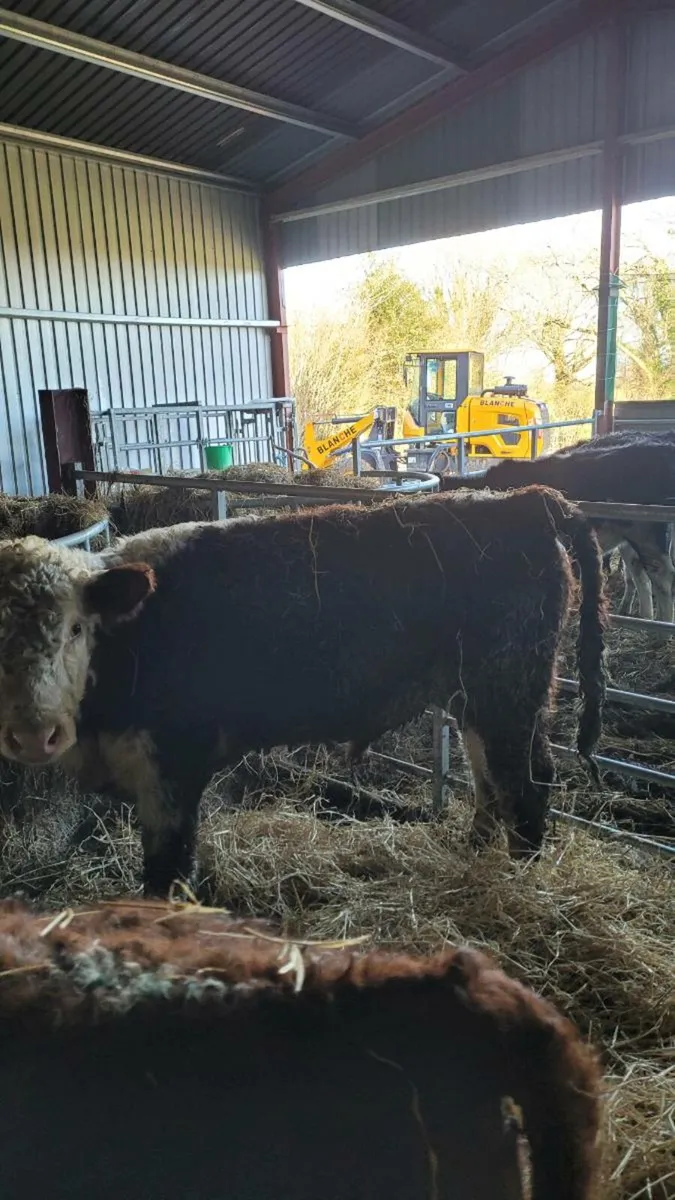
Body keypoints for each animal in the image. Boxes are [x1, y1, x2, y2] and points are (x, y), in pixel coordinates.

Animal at [0, 485, 606, 896]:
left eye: (77, 628)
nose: (33, 735)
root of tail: (524, 501)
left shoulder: (174, 768)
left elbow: (167, 879)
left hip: (509, 690)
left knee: (527, 785)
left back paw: (520, 881)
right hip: (477, 697)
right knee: (489, 780)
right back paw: (470, 854)